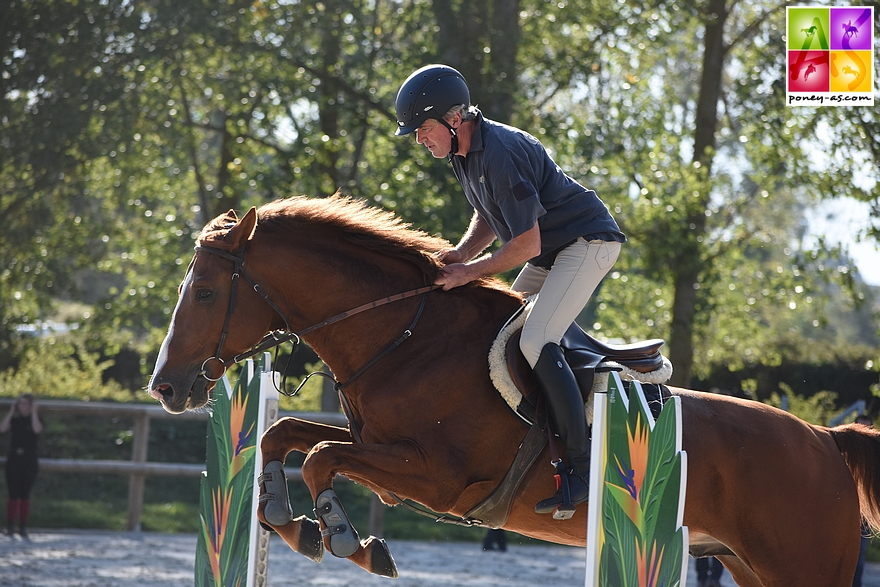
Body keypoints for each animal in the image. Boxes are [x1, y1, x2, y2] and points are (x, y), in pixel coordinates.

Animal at [151, 198, 880, 587]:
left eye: (207, 292)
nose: (165, 386)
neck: (405, 336)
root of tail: (826, 440)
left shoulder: (437, 477)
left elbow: (320, 457)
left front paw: (347, 539)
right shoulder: (377, 444)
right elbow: (287, 437)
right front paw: (288, 520)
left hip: (802, 565)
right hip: (749, 565)